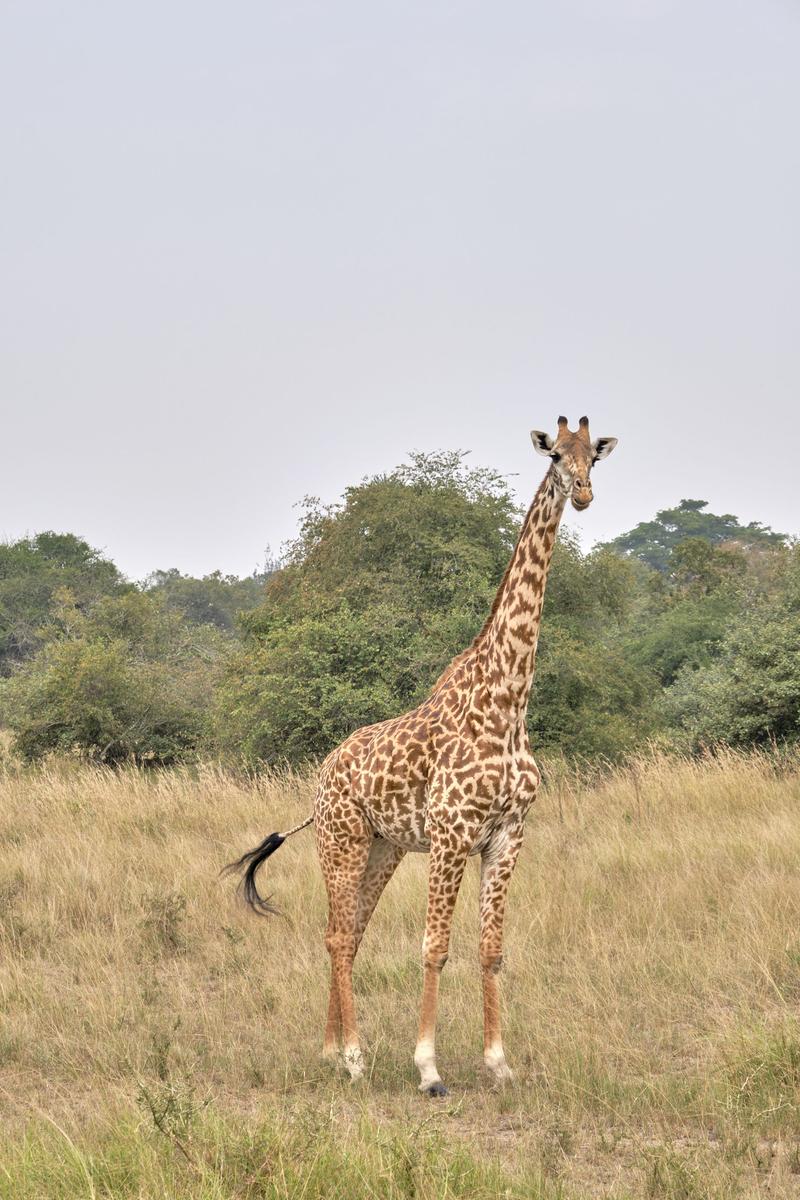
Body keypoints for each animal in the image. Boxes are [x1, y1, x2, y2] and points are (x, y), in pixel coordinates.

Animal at [225, 417, 618, 1094]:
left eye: (594, 456)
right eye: (555, 457)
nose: (585, 494)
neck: (507, 701)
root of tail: (322, 775)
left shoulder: (508, 834)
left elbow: (491, 949)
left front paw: (498, 1063)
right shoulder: (453, 832)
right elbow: (434, 946)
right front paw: (428, 1068)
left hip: (383, 848)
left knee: (350, 934)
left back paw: (330, 1051)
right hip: (341, 841)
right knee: (336, 935)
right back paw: (353, 1058)